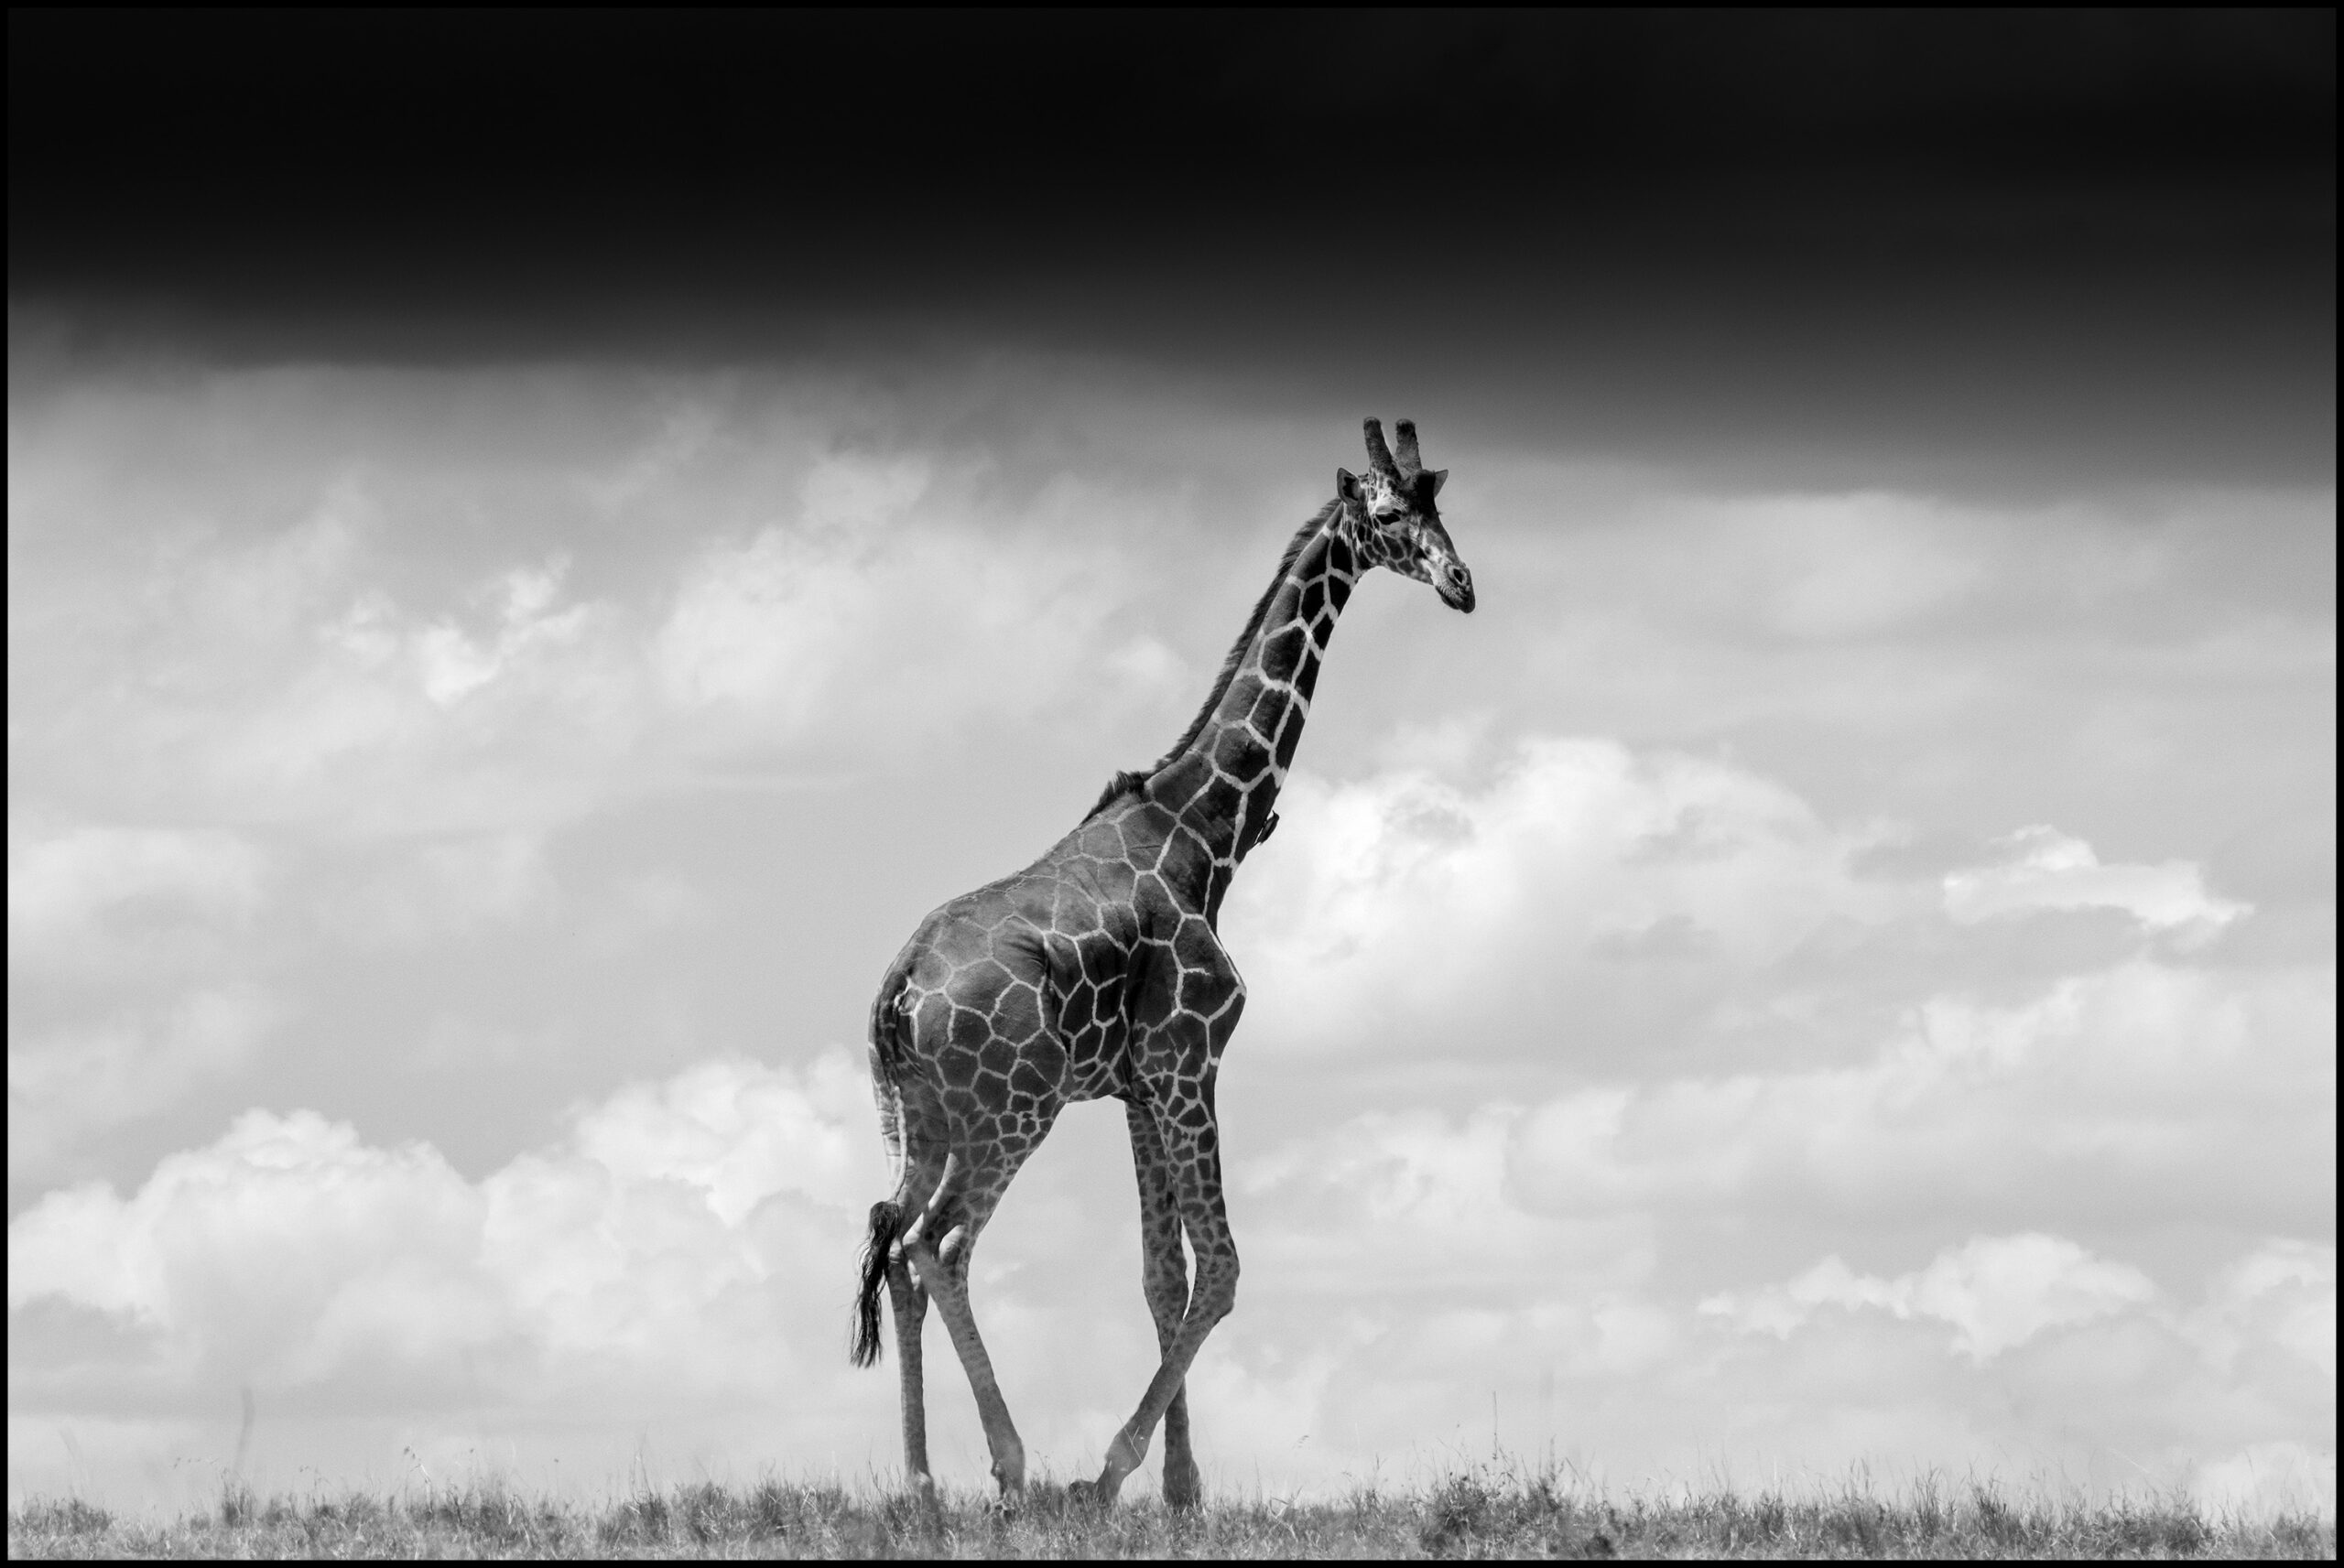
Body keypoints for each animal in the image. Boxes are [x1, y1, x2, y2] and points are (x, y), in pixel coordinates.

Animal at [850, 417, 1474, 1508]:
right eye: (1389, 514)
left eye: (1442, 503)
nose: (1461, 582)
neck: (1205, 836)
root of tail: (899, 993)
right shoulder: (1192, 1056)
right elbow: (1219, 1268)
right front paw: (1113, 1472)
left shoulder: (1139, 1085)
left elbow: (1161, 1276)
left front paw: (1181, 1488)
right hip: (1016, 1111)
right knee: (941, 1244)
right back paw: (1013, 1467)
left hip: (919, 1119)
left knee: (895, 1243)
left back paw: (923, 1484)